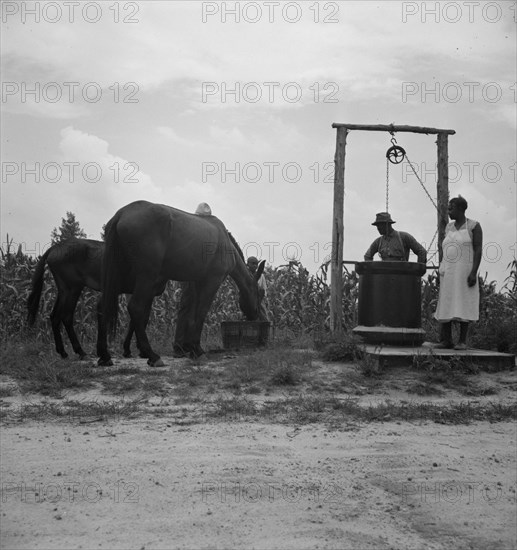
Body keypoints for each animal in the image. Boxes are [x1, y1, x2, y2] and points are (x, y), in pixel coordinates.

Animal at [98, 202, 264, 366]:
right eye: (259, 292)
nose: (255, 314)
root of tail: (121, 213)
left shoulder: (197, 282)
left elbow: (191, 316)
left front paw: (192, 348)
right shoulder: (212, 281)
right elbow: (201, 313)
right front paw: (197, 349)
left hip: (117, 278)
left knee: (103, 307)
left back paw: (105, 355)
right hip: (146, 276)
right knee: (136, 308)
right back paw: (152, 355)